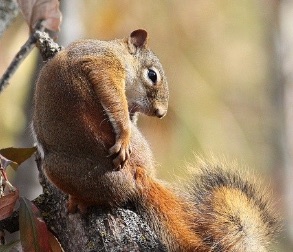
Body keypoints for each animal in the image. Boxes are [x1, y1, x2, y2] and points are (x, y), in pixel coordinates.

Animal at [32, 29, 276, 250]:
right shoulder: (103, 63)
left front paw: (124, 136)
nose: (160, 113)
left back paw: (80, 200)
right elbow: (114, 98)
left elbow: (114, 99)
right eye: (152, 75)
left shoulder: (101, 64)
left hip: (56, 169)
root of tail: (141, 177)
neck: (115, 51)